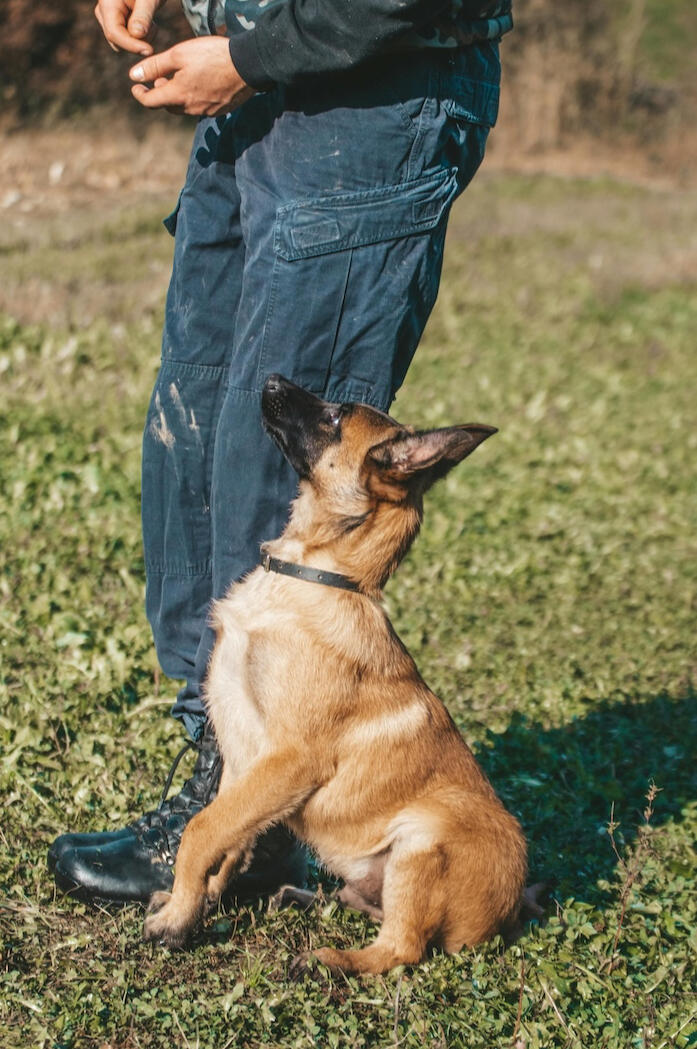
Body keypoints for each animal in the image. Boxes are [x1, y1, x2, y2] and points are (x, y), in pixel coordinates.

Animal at [143, 375, 524, 973]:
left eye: (336, 417)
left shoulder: (290, 759)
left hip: (420, 842)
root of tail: (509, 915)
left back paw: (330, 960)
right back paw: (301, 897)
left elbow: (203, 831)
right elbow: (229, 838)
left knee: (401, 949)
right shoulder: (245, 758)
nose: (273, 377)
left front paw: (178, 920)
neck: (312, 575)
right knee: (364, 907)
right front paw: (200, 903)